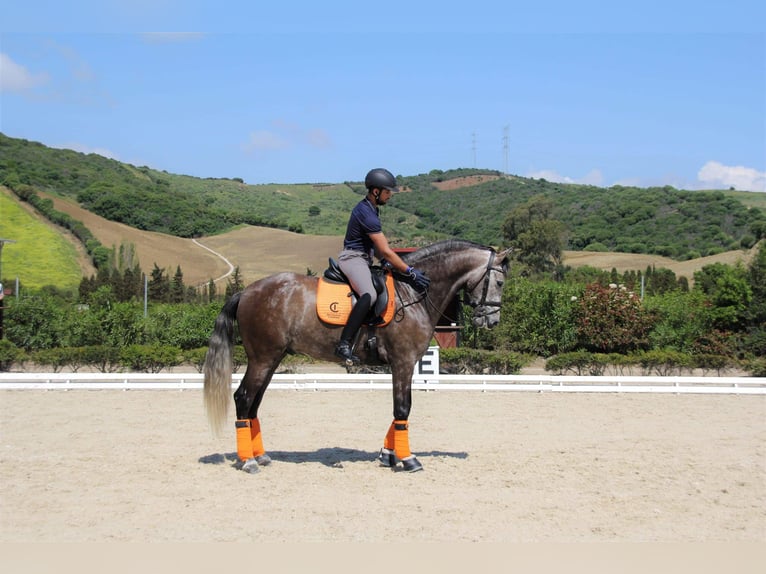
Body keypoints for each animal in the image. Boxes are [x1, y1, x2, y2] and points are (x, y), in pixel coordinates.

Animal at [207, 238, 512, 472]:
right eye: (499, 282)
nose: (492, 322)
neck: (412, 294)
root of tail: (247, 292)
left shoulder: (401, 364)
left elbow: (398, 410)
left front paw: (388, 455)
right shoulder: (403, 361)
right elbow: (403, 408)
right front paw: (408, 459)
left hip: (272, 358)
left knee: (254, 404)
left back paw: (260, 456)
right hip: (263, 358)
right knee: (243, 398)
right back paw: (248, 461)